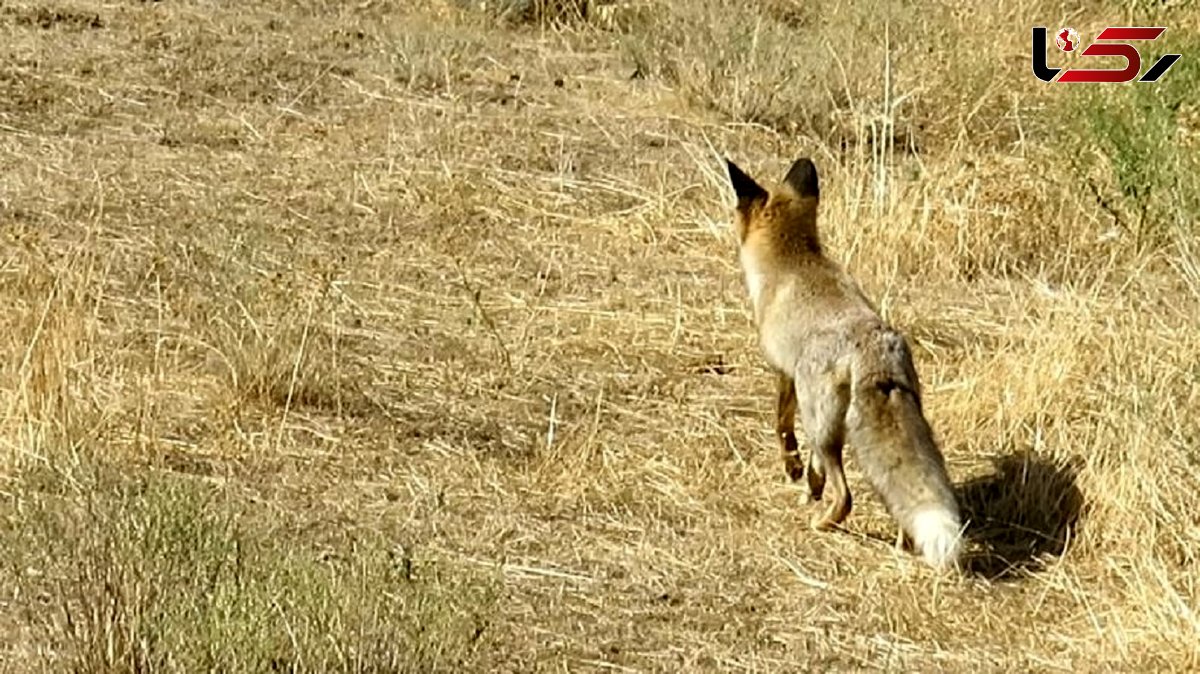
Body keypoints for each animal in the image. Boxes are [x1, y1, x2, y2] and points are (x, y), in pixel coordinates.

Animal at [720, 154, 964, 568]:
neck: (793, 262)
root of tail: (874, 348)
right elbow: (813, 466)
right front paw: (809, 485)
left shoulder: (784, 372)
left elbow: (782, 426)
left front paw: (794, 470)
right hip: (856, 424)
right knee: (897, 501)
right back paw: (901, 543)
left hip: (822, 427)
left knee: (845, 495)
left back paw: (823, 523)